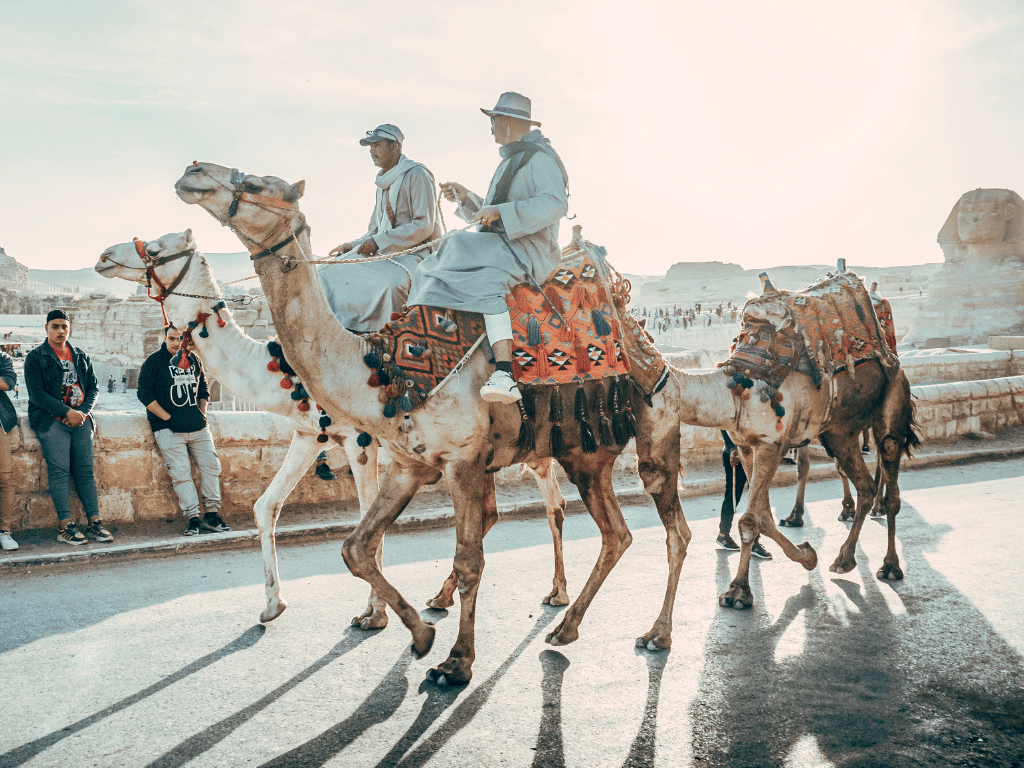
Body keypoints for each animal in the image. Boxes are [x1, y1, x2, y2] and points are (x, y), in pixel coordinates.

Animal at [176, 162, 692, 684]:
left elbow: (469, 561)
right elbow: (356, 547)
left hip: (655, 429)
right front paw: (419, 634)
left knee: (675, 530)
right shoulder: (409, 463)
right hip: (584, 455)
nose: (193, 172)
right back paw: (566, 628)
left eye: (256, 183)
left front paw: (456, 662)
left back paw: (657, 633)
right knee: (617, 534)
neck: (385, 369)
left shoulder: (462, 458)